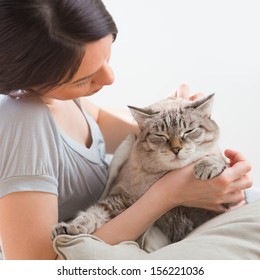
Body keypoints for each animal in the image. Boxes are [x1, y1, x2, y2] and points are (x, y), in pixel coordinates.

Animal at [52, 94, 228, 243]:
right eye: (160, 135)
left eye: (189, 131)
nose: (176, 149)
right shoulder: (118, 199)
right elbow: (92, 214)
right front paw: (70, 227)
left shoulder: (215, 209)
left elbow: (219, 158)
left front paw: (206, 165)